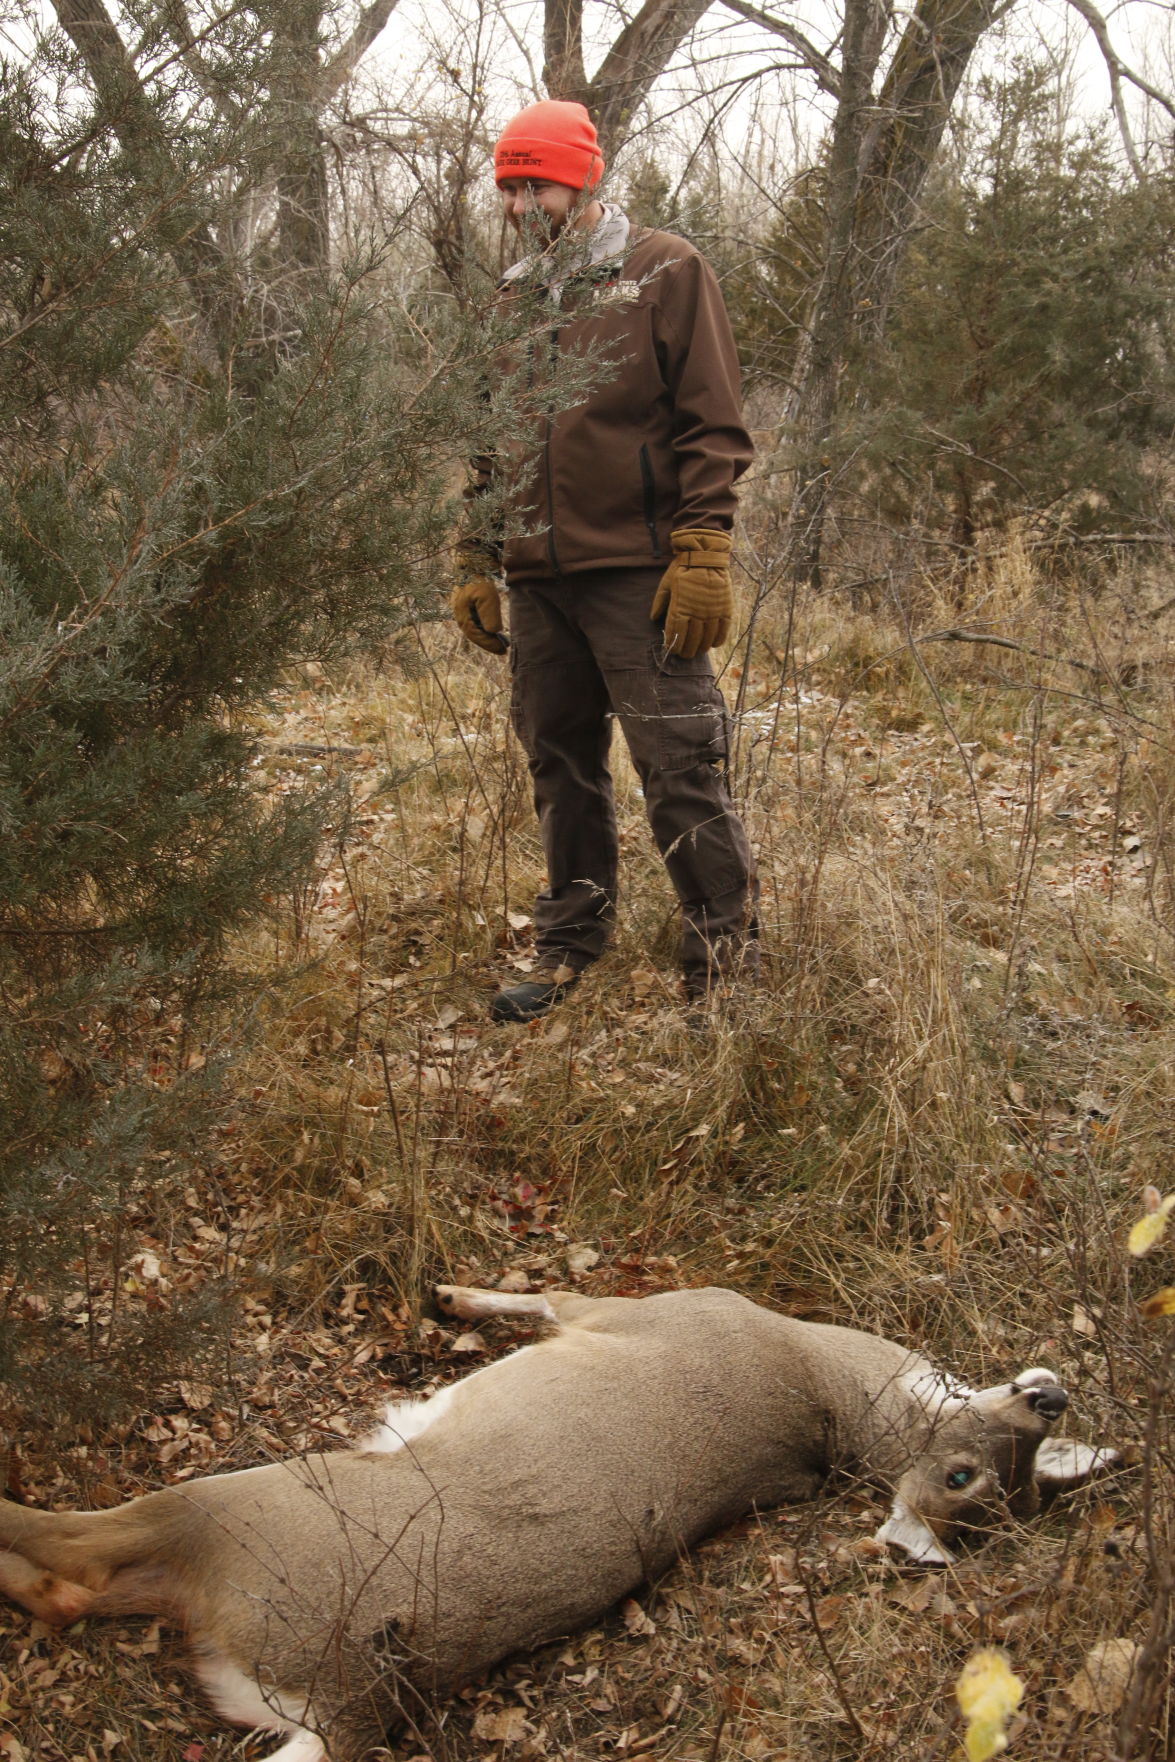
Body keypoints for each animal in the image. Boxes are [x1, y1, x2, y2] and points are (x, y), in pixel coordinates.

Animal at [0, 1284, 1114, 1761]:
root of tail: (356, 1702)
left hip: (238, 1502)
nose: (1048, 1395)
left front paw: (446, 1287)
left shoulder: (635, 1305)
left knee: (72, 1551)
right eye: (984, 1476)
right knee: (70, 1591)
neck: (818, 1379)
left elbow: (536, 1290)